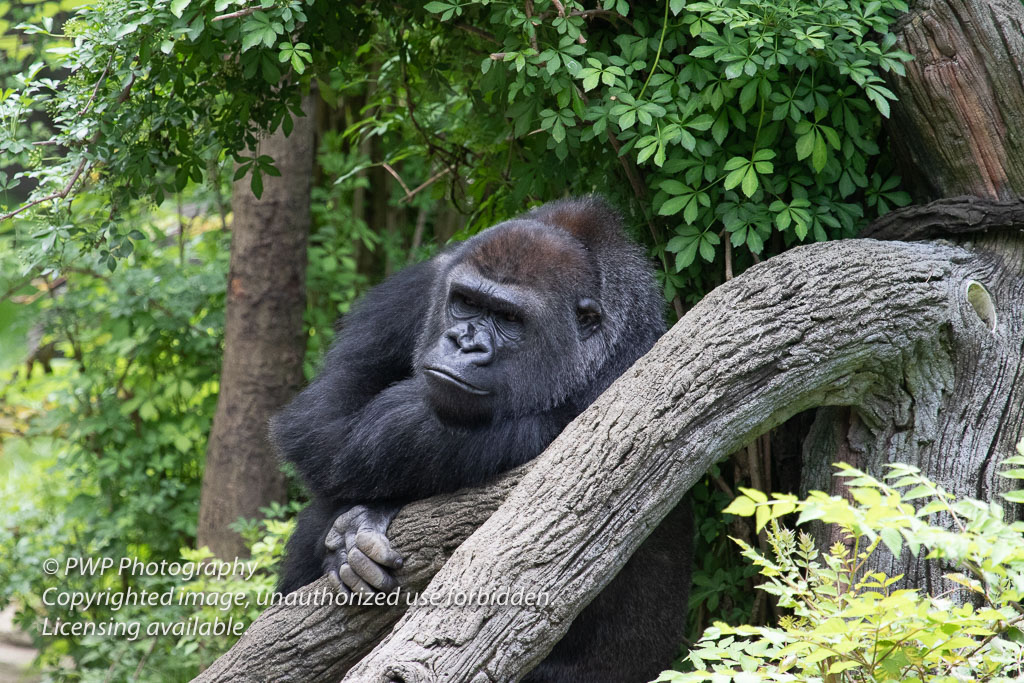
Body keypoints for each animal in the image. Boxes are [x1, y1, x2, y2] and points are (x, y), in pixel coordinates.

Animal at [268, 194, 692, 679]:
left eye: (509, 318)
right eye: (466, 303)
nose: (464, 342)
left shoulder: (632, 372)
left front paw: (362, 525)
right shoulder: (421, 285)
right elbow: (325, 420)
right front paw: (353, 532)